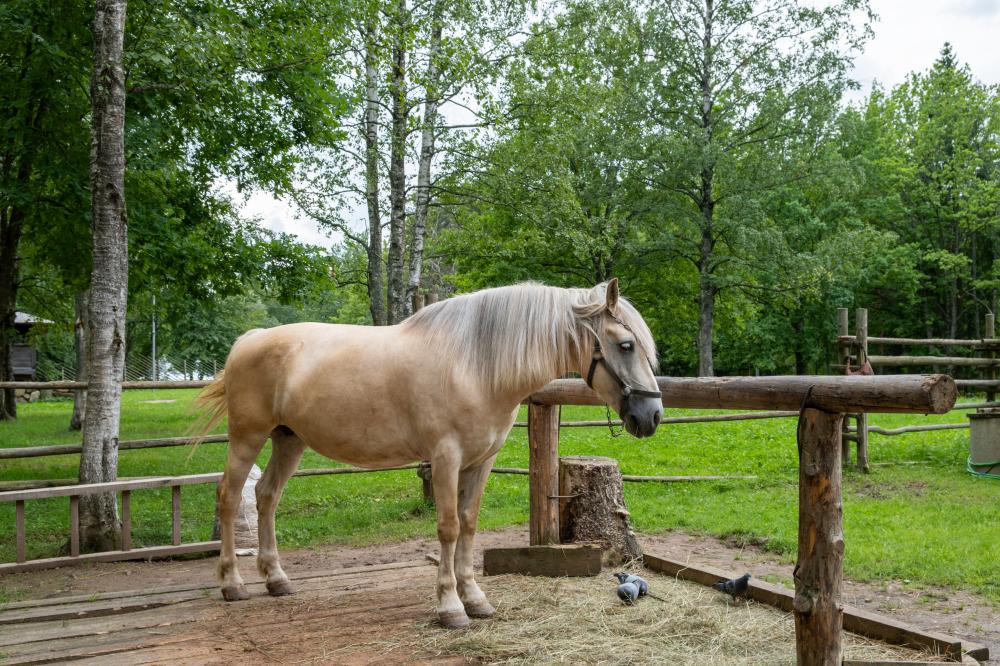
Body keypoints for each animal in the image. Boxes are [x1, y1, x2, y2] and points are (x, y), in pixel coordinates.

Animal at [194, 278, 662, 628]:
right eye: (625, 345)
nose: (652, 415)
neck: (474, 365)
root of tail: (251, 338)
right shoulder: (445, 458)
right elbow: (449, 528)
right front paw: (450, 607)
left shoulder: (481, 461)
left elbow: (469, 526)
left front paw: (475, 599)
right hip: (247, 437)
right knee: (229, 497)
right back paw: (232, 584)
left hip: (288, 440)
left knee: (267, 497)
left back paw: (276, 579)